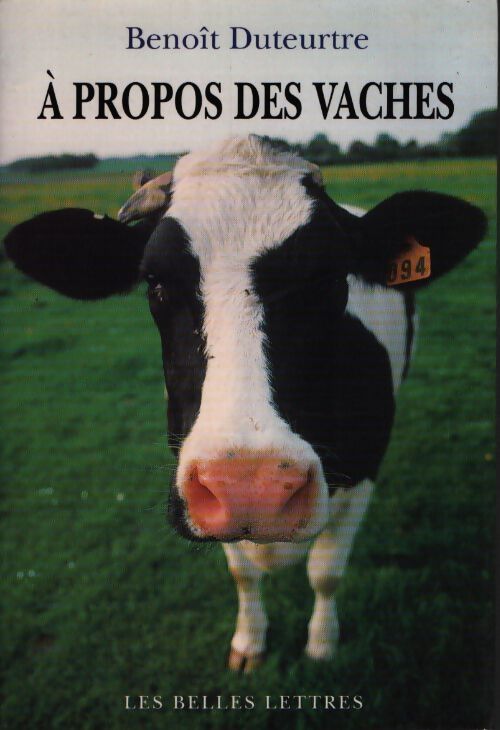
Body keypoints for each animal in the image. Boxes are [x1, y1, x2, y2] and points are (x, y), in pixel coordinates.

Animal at [4, 135, 486, 672]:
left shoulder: (364, 472)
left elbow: (326, 571)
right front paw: (249, 641)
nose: (251, 488)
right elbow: (243, 573)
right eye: (155, 283)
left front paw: (322, 644)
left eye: (333, 277)